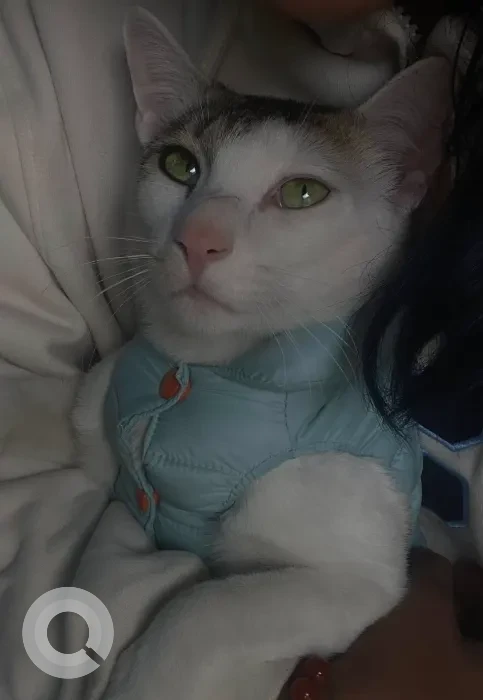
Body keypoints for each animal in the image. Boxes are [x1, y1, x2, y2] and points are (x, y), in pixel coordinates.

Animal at [73, 7, 451, 700]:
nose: (198, 239)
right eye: (179, 165)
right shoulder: (102, 417)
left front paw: (143, 676)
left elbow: (200, 611)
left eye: (302, 193)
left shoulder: (359, 577)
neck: (206, 375)